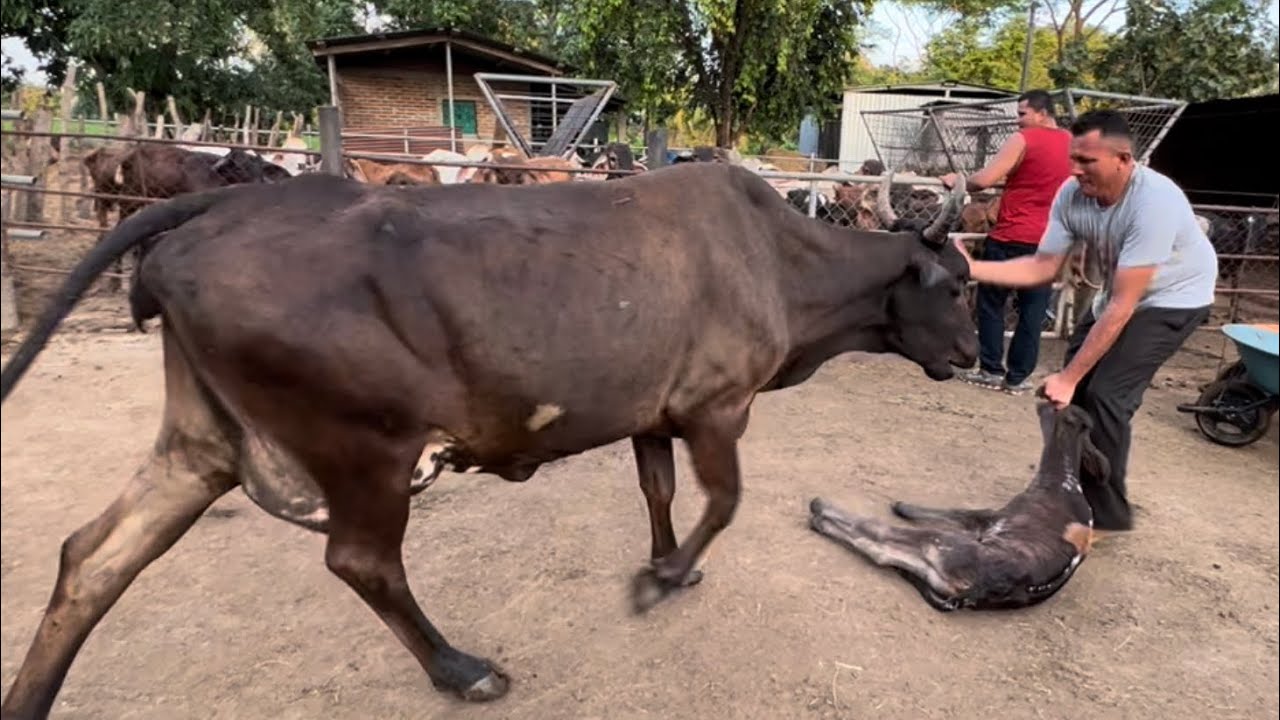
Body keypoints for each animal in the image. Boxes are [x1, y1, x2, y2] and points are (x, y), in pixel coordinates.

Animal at [0, 162, 976, 717]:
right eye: (960, 287)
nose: (972, 356)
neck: (779, 258)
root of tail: (217, 210)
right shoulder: (716, 405)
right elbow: (725, 500)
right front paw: (659, 582)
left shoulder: (653, 416)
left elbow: (660, 492)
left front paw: (667, 562)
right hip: (368, 446)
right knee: (362, 562)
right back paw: (461, 669)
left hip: (199, 446)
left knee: (94, 557)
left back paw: (31, 695)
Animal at [808, 401, 1108, 612]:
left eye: (1057, 406)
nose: (1044, 396)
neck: (1063, 480)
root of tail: (976, 591)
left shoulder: (990, 516)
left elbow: (954, 511)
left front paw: (901, 505)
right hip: (936, 571)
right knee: (884, 552)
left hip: (942, 544)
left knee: (879, 536)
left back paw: (821, 510)